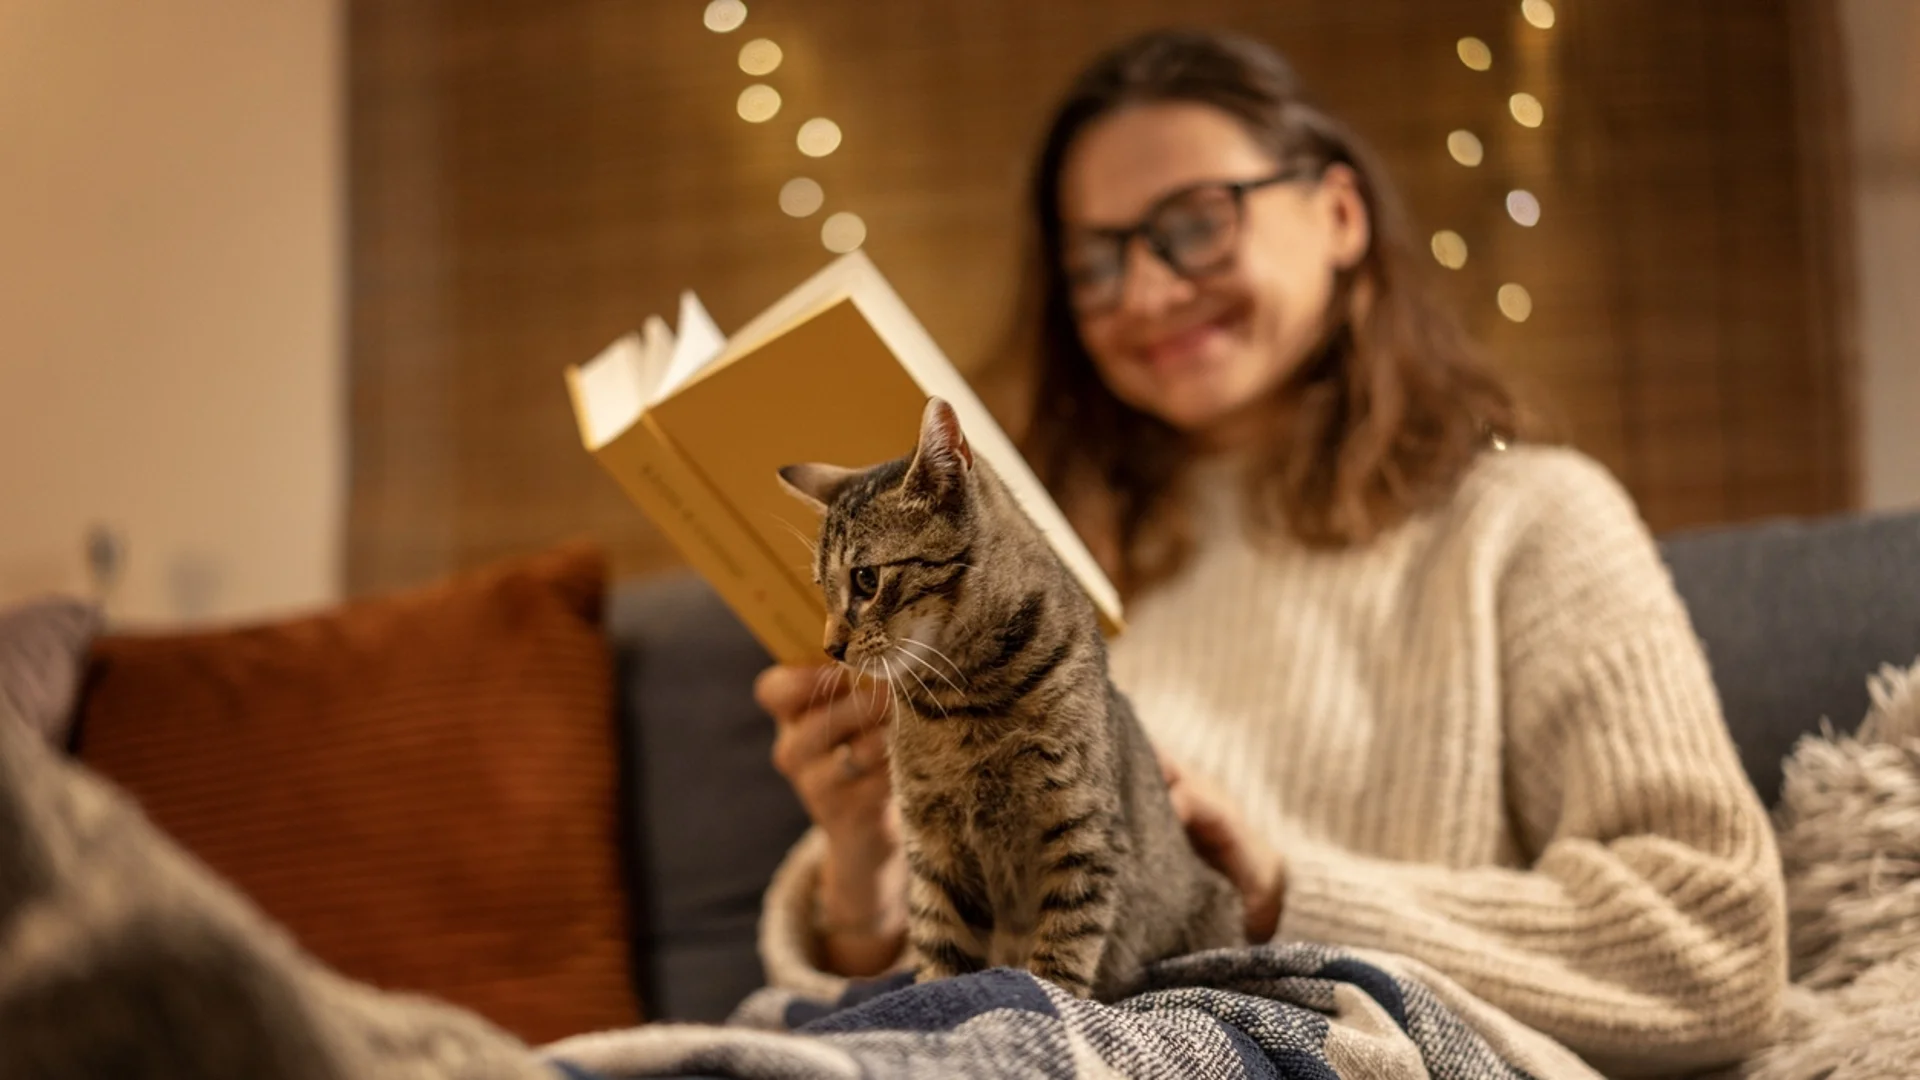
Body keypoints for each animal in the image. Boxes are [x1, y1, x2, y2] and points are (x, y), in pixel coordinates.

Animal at [779, 393, 1244, 991]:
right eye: (822, 590)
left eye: (864, 579)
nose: (831, 648)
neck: (961, 697)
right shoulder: (934, 843)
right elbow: (938, 939)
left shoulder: (1082, 830)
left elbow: (1064, 946)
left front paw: (1050, 992)